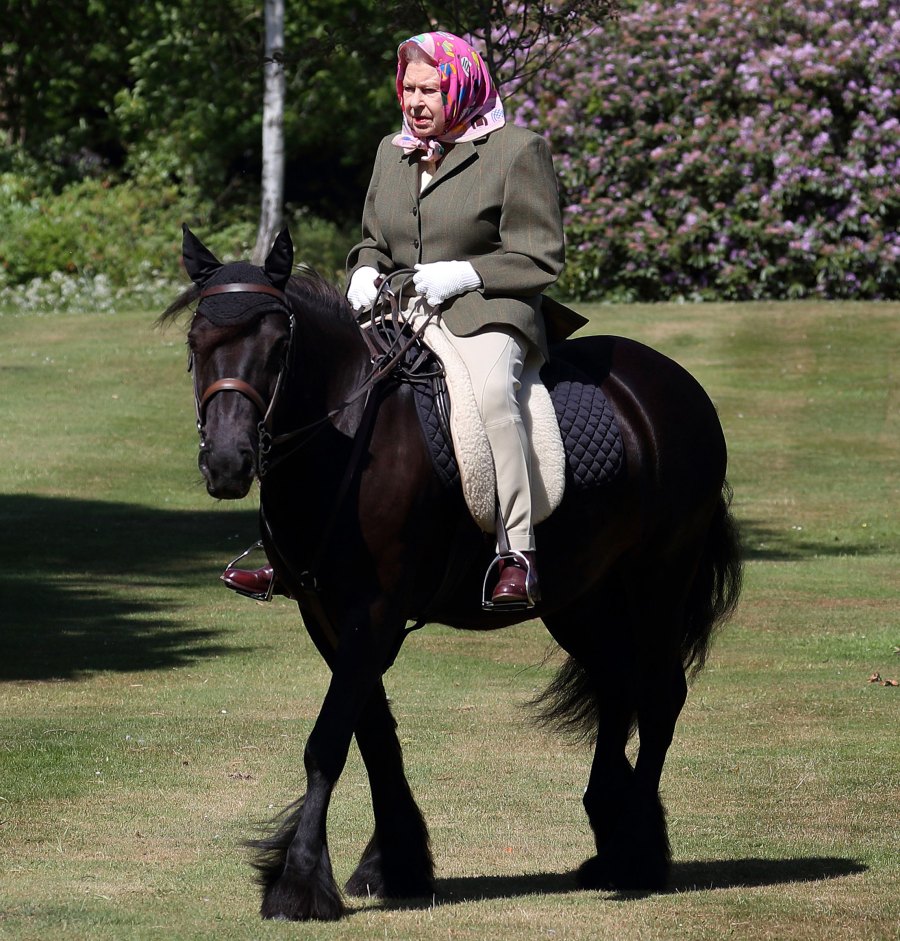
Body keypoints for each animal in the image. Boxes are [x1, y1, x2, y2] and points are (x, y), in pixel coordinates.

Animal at [160, 226, 740, 916]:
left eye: (279, 347)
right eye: (196, 344)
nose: (228, 462)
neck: (346, 435)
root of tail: (673, 384)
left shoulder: (375, 611)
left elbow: (328, 741)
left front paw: (298, 882)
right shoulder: (327, 614)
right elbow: (373, 735)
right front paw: (396, 864)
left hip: (657, 580)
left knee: (657, 696)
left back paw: (638, 854)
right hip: (582, 597)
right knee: (615, 686)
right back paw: (610, 837)